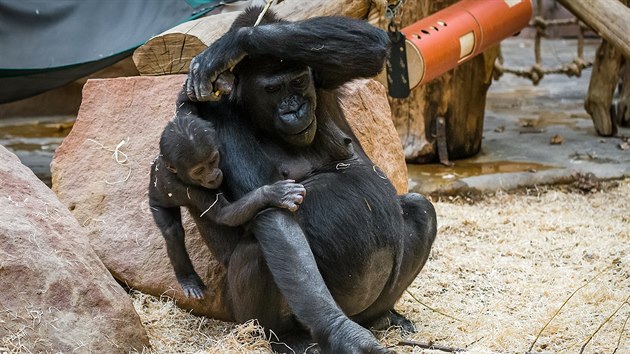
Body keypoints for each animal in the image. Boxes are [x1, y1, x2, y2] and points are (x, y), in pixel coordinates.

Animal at [148, 114, 306, 298]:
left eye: (212, 160)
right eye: (199, 170)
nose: (212, 176)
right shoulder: (191, 188)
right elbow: (223, 213)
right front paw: (273, 193)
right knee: (172, 231)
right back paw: (187, 278)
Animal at [185, 6, 436, 352]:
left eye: (298, 81)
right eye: (273, 90)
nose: (295, 109)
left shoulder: (320, 70)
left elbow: (372, 47)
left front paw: (233, 45)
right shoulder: (217, 114)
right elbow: (274, 214)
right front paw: (341, 334)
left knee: (419, 208)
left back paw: (382, 316)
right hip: (243, 316)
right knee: (259, 251)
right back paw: (287, 337)